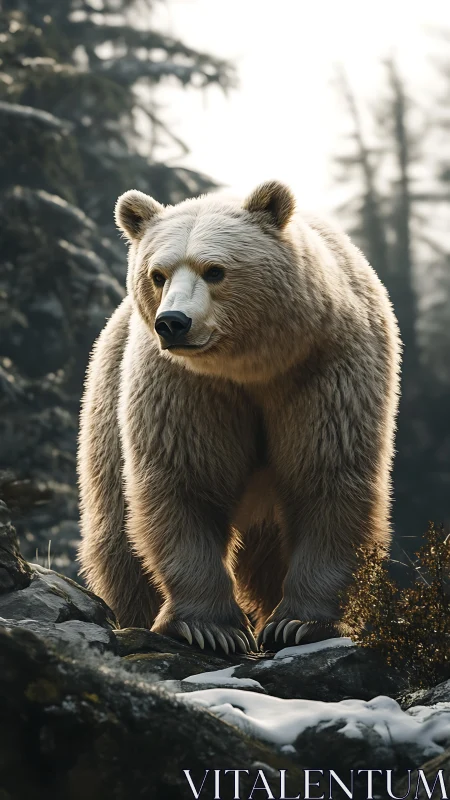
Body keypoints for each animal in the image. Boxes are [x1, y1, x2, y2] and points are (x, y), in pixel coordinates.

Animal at [77, 180, 401, 654]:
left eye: (214, 270)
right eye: (158, 274)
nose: (172, 322)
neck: (253, 367)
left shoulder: (327, 367)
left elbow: (327, 474)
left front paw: (300, 623)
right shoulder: (186, 386)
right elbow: (187, 480)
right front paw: (212, 628)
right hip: (106, 404)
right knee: (118, 536)